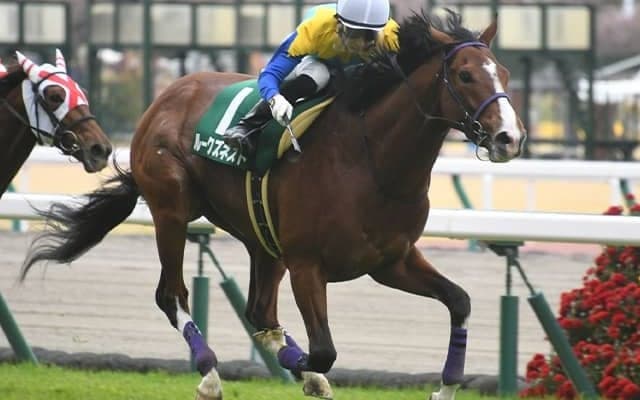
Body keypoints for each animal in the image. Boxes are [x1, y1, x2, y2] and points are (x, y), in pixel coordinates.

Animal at [20, 11, 525, 400]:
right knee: (172, 294)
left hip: (261, 236)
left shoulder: (391, 260)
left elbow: (459, 301)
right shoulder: (307, 264)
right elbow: (324, 350)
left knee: (259, 310)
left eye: (503, 72)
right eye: (464, 75)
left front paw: (445, 387)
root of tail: (168, 94)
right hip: (172, 209)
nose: (509, 137)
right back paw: (210, 373)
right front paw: (305, 369)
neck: (371, 160)